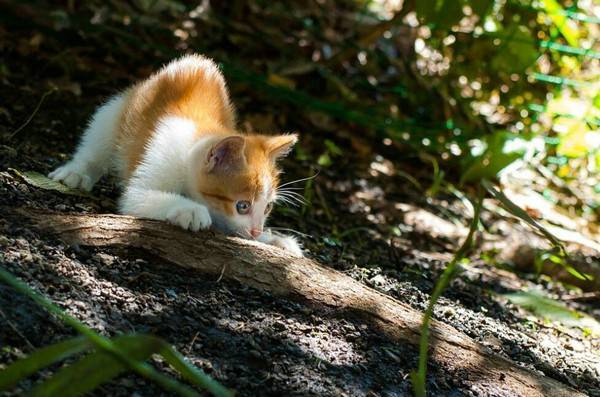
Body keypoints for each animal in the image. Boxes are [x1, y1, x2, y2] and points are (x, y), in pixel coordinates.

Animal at [48, 53, 304, 256]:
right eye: (242, 206)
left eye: (267, 208)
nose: (256, 230)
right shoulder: (156, 165)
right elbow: (139, 197)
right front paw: (190, 209)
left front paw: (274, 239)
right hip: (117, 111)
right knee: (98, 141)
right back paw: (76, 172)